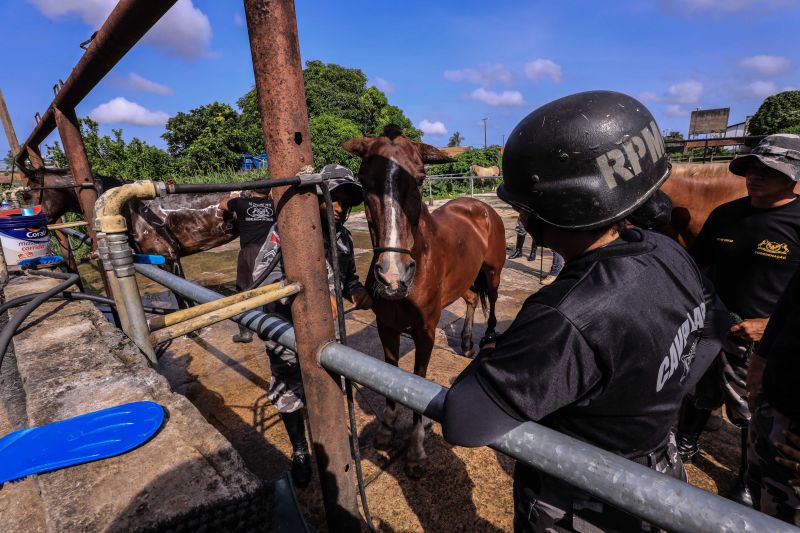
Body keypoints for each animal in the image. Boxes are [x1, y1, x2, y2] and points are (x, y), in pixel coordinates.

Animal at [346, 125, 506, 478]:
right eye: (363, 180)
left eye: (420, 179)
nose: (393, 276)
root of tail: (480, 207)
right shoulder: (386, 328)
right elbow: (391, 375)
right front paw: (386, 432)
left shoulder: (425, 333)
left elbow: (416, 383)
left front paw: (416, 450)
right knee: (471, 300)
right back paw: (465, 342)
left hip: (493, 272)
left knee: (491, 303)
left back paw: (486, 338)